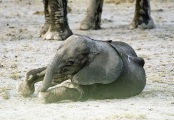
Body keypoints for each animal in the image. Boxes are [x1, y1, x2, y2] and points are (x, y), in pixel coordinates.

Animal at [17, 34, 145, 103]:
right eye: (57, 49)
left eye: (71, 62)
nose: (39, 90)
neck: (95, 45)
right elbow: (55, 76)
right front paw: (23, 90)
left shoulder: (95, 76)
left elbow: (80, 93)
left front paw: (43, 96)